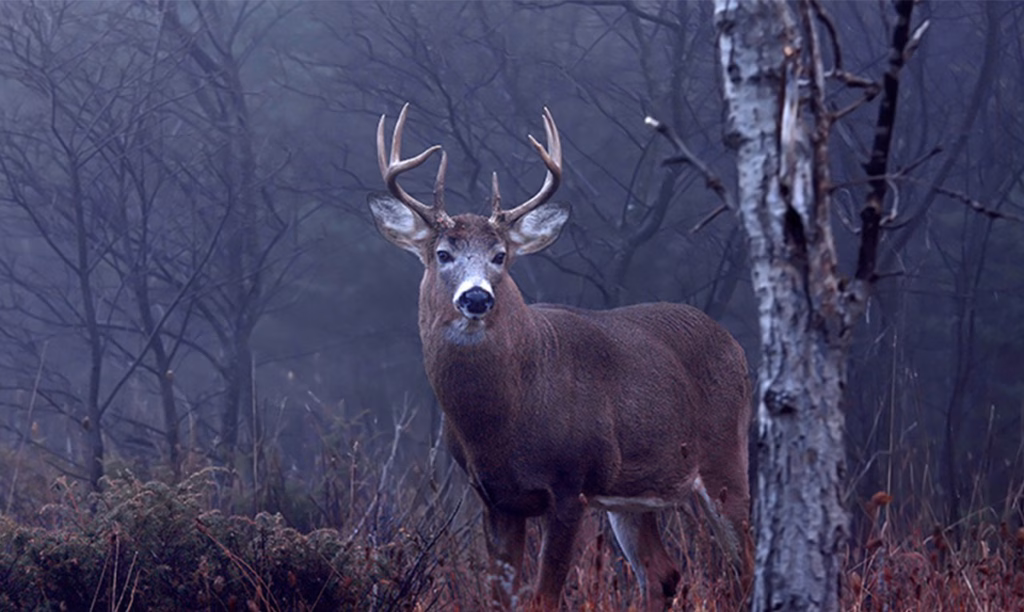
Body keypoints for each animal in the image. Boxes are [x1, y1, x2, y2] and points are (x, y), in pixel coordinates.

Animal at [367, 103, 752, 610]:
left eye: (501, 255)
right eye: (443, 254)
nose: (477, 298)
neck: (504, 421)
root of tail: (734, 345)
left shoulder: (572, 486)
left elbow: (543, 598)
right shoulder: (494, 499)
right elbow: (503, 600)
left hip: (725, 457)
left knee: (746, 566)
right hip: (632, 495)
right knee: (664, 573)